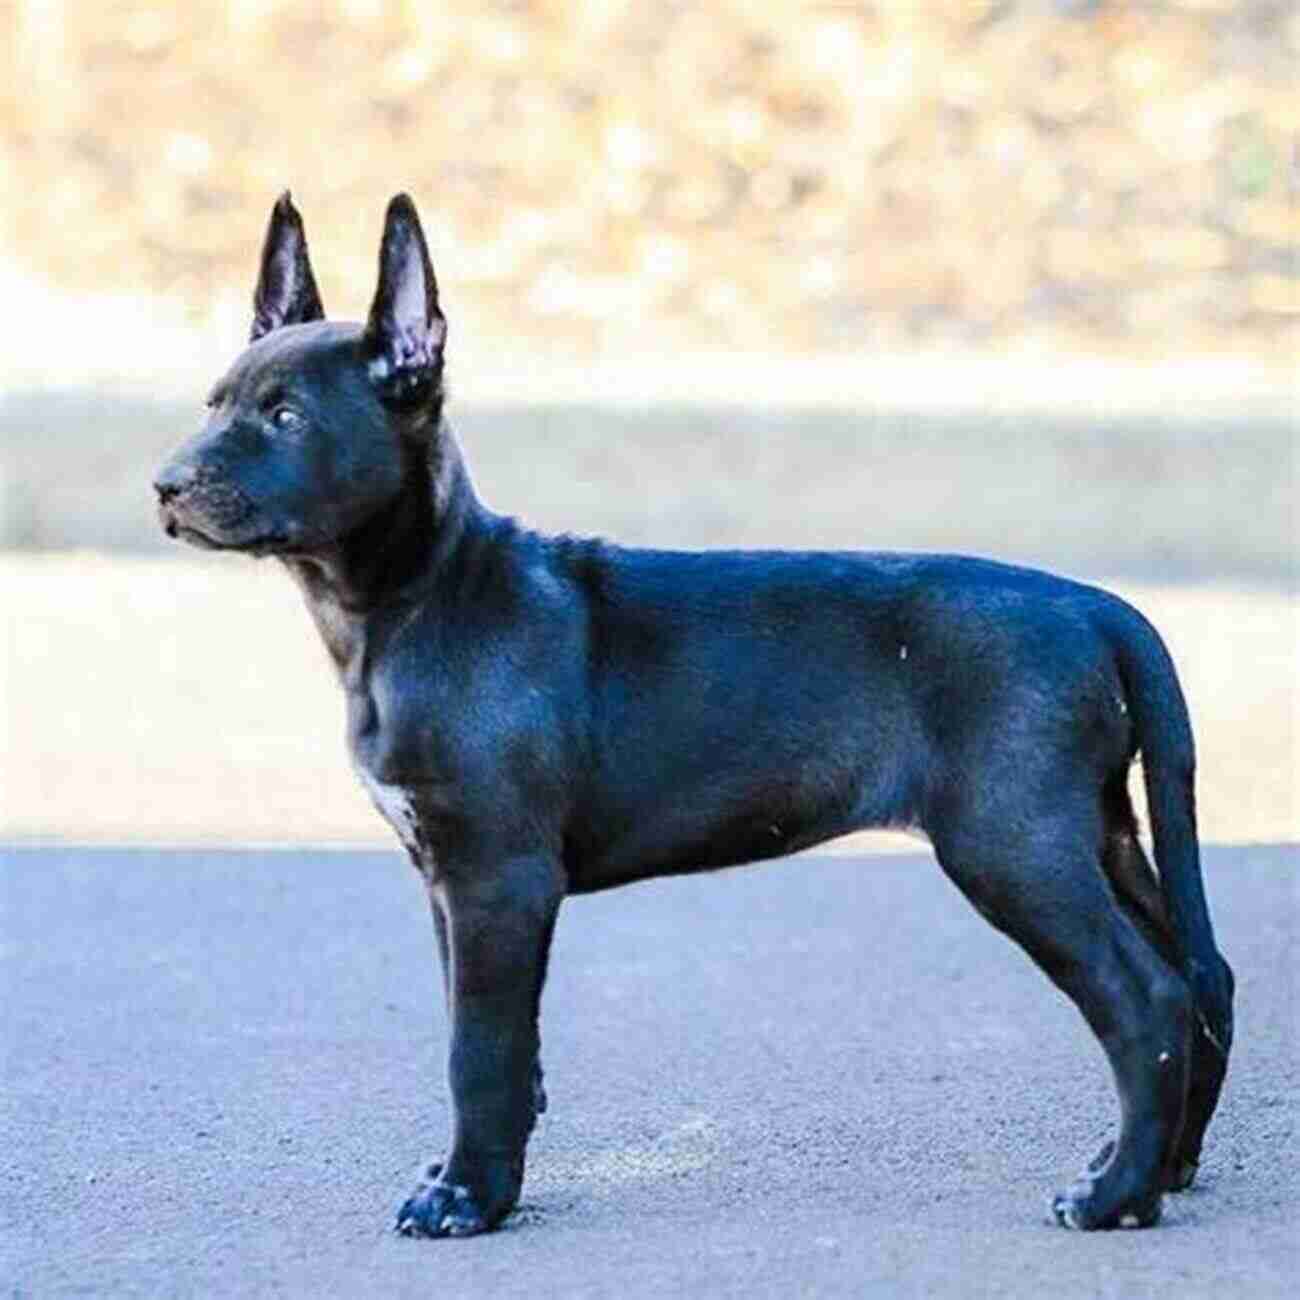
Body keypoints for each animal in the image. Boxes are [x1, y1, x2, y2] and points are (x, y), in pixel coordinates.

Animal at [157, 192, 1232, 1237]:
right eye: (214, 403)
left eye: (286, 415)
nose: (164, 485)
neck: (420, 599)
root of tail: (1099, 608)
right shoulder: (448, 878)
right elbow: (502, 1041)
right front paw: (480, 1177)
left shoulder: (496, 876)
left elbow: (478, 1049)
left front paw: (467, 1197)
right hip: (1098, 833)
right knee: (1199, 981)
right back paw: (1159, 1170)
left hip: (1014, 843)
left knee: (1145, 998)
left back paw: (1113, 1197)